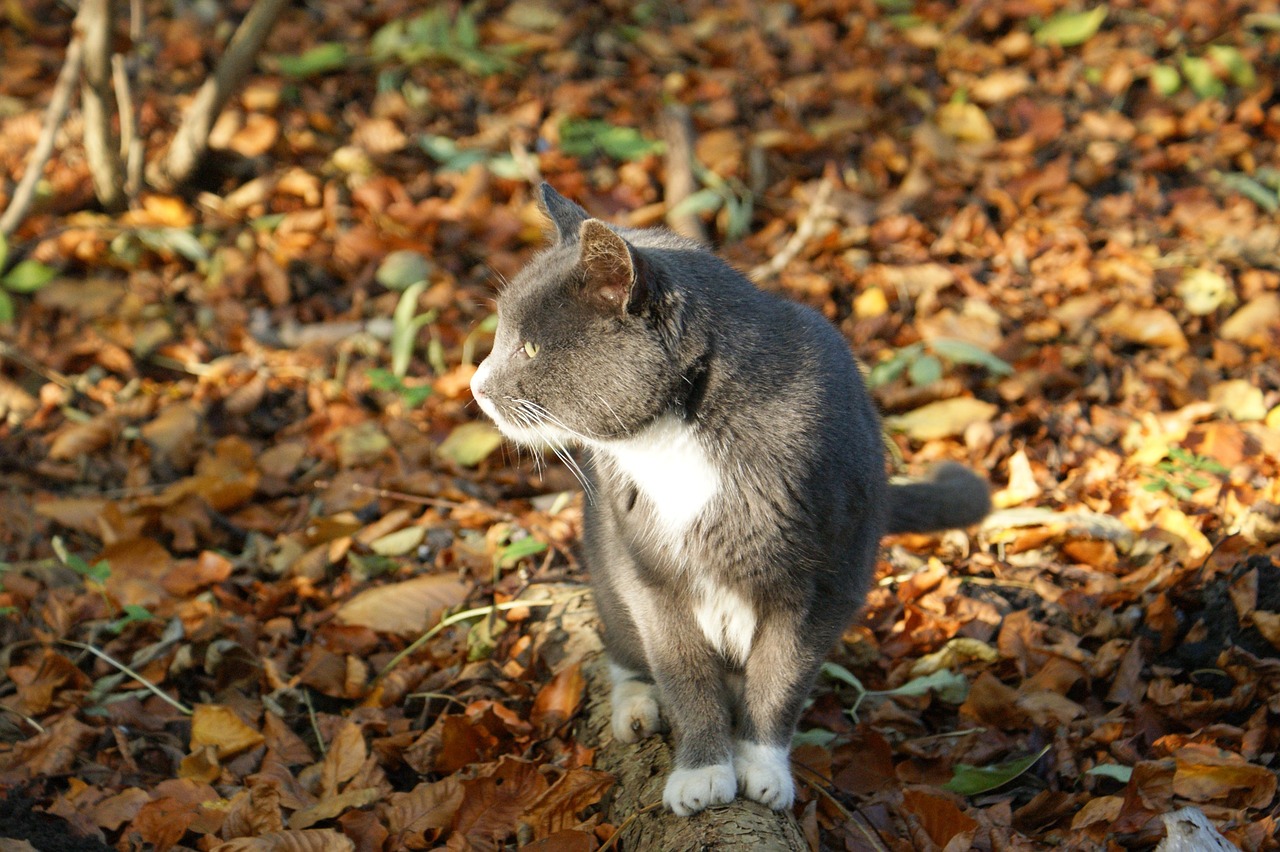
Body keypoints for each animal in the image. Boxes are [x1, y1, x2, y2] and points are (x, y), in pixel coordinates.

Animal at [471, 182, 988, 813]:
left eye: (529, 348)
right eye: (504, 337)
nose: (475, 386)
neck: (679, 436)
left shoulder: (824, 580)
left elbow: (782, 676)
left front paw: (762, 769)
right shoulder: (647, 570)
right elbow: (683, 672)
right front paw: (702, 774)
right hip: (604, 560)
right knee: (625, 648)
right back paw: (635, 709)